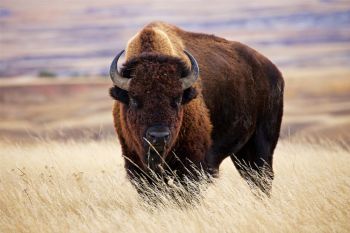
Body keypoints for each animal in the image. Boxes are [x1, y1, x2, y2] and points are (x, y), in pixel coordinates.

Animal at [110, 21, 284, 196]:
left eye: (178, 99)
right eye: (133, 99)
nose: (159, 137)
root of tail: (274, 71)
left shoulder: (192, 165)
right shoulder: (137, 167)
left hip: (262, 143)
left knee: (263, 177)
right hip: (241, 151)